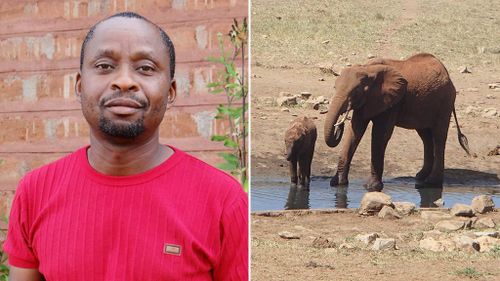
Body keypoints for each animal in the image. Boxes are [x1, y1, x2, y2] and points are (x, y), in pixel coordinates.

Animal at [324, 52, 468, 190]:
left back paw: (431, 183)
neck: (368, 69)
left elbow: (380, 135)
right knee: (426, 136)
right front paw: (338, 184)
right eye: (334, 87)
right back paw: (420, 177)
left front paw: (371, 187)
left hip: (445, 102)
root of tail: (447, 74)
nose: (339, 125)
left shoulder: (392, 102)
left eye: (356, 91)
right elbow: (354, 132)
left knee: (439, 136)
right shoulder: (367, 102)